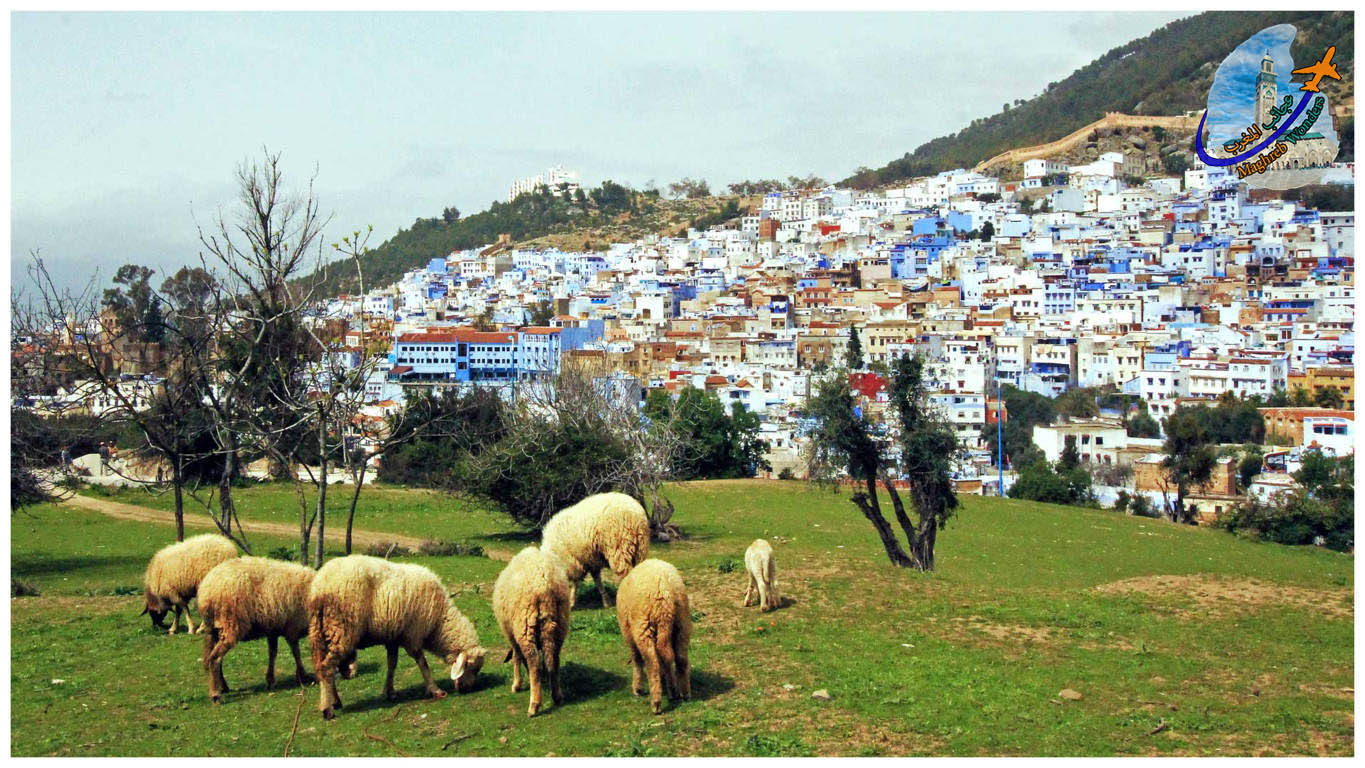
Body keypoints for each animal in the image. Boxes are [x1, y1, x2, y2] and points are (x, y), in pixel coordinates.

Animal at [197, 559, 313, 703]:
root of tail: (207, 589)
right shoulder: (292, 628)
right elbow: (296, 653)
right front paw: (303, 675)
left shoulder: (273, 629)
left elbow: (273, 653)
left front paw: (270, 680)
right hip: (230, 624)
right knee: (215, 659)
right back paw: (215, 694)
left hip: (214, 629)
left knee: (214, 658)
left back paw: (223, 686)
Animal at [308, 556, 485, 720]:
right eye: (472, 667)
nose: (467, 689)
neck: (439, 621)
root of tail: (321, 586)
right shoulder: (412, 634)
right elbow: (422, 663)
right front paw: (435, 690)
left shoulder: (392, 637)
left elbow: (392, 664)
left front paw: (389, 691)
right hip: (341, 629)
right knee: (326, 668)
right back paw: (327, 709)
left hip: (320, 631)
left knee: (322, 666)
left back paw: (335, 700)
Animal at [494, 542, 573, 720]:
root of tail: (544, 584)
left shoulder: (511, 635)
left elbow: (516, 657)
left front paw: (516, 685)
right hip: (557, 625)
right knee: (553, 659)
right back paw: (557, 696)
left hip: (525, 625)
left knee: (534, 662)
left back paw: (534, 705)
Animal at [614, 559, 687, 714]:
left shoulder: (628, 633)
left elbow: (636, 659)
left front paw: (637, 688)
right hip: (682, 624)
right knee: (679, 658)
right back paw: (681, 693)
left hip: (643, 627)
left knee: (652, 663)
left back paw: (656, 703)